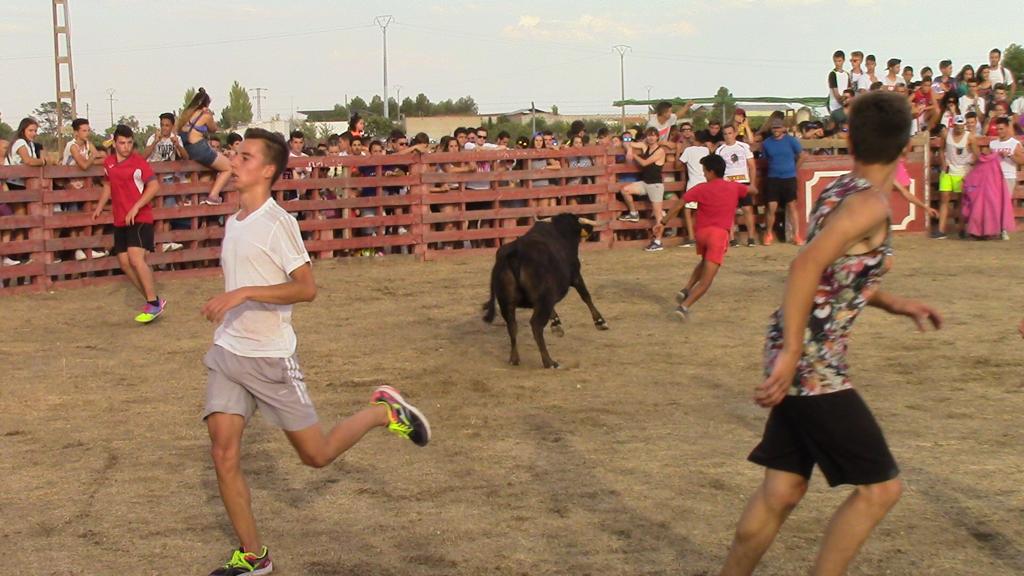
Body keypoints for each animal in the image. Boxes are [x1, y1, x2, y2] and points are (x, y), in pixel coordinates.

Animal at [479, 212, 606, 366]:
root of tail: (515, 254)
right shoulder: (575, 276)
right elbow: (586, 296)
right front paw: (600, 322)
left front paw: (556, 324)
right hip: (543, 299)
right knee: (536, 325)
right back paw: (549, 362)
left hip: (507, 303)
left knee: (512, 326)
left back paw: (514, 359)